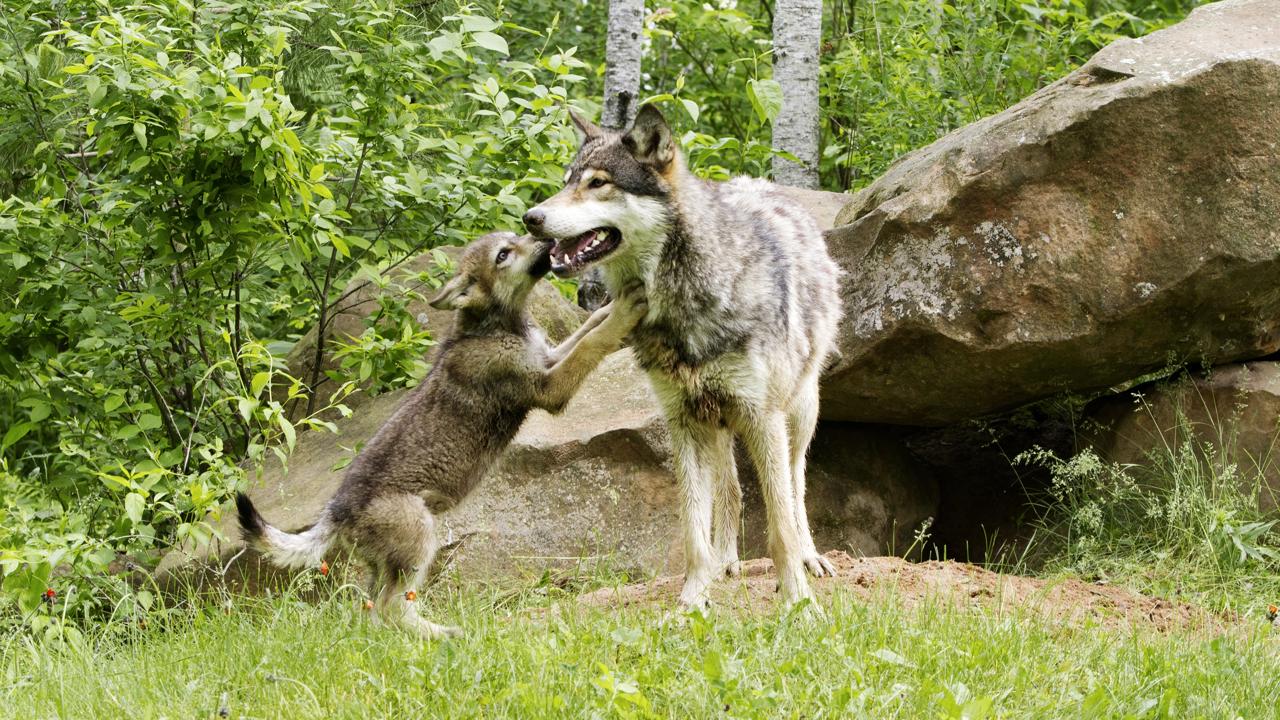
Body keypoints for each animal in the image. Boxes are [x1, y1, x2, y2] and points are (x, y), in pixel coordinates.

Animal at [236, 233, 645, 635]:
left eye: (516, 237)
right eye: (503, 254)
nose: (544, 235)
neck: (497, 328)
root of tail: (336, 512)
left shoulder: (549, 355)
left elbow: (588, 329)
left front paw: (612, 306)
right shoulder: (548, 388)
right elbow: (593, 342)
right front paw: (626, 310)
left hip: (383, 566)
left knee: (375, 613)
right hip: (419, 539)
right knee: (391, 608)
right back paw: (447, 636)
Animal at [519, 103, 839, 607]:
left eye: (598, 183)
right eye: (568, 180)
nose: (530, 217)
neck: (684, 301)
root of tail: (765, 185)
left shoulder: (762, 416)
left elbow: (780, 525)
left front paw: (798, 602)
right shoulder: (683, 420)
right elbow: (692, 529)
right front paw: (692, 600)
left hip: (797, 413)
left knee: (795, 487)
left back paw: (811, 559)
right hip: (718, 421)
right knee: (731, 490)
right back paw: (725, 563)